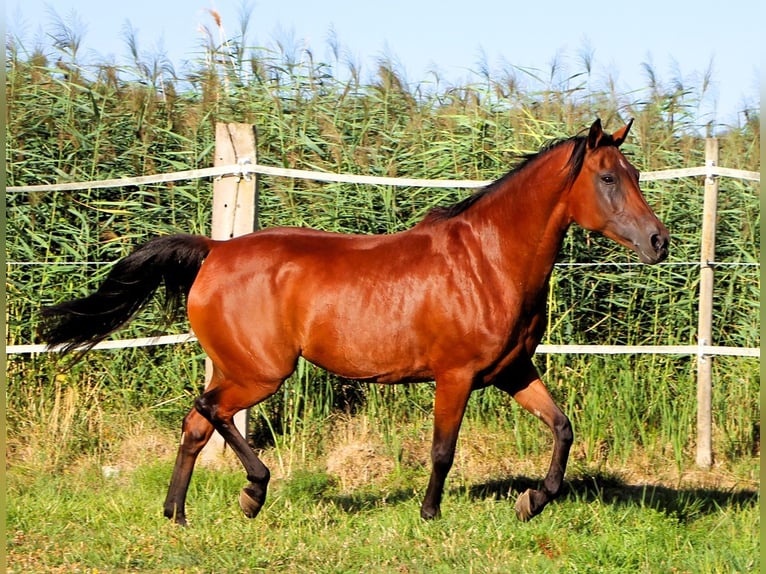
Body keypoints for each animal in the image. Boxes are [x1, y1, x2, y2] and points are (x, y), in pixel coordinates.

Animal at [40, 119, 669, 525]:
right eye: (608, 178)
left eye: (634, 173)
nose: (658, 242)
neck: (488, 261)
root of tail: (214, 251)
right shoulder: (456, 376)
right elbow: (443, 450)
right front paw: (430, 513)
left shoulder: (511, 371)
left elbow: (562, 428)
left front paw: (532, 502)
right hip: (261, 373)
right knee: (209, 411)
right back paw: (253, 492)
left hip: (234, 366)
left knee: (196, 425)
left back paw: (177, 514)